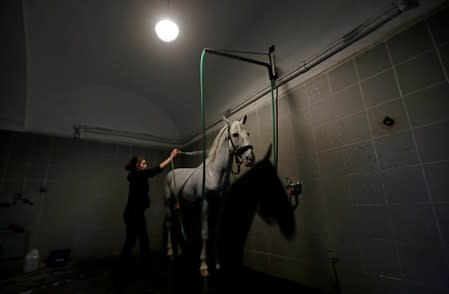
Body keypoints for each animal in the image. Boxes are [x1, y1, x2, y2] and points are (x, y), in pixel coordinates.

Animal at [164, 114, 256, 276]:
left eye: (248, 133)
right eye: (235, 134)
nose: (250, 158)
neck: (214, 173)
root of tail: (170, 173)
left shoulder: (221, 204)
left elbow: (217, 232)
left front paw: (217, 262)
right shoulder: (205, 203)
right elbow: (205, 233)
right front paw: (204, 266)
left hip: (181, 205)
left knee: (178, 224)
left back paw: (180, 251)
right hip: (168, 203)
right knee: (169, 224)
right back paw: (170, 253)